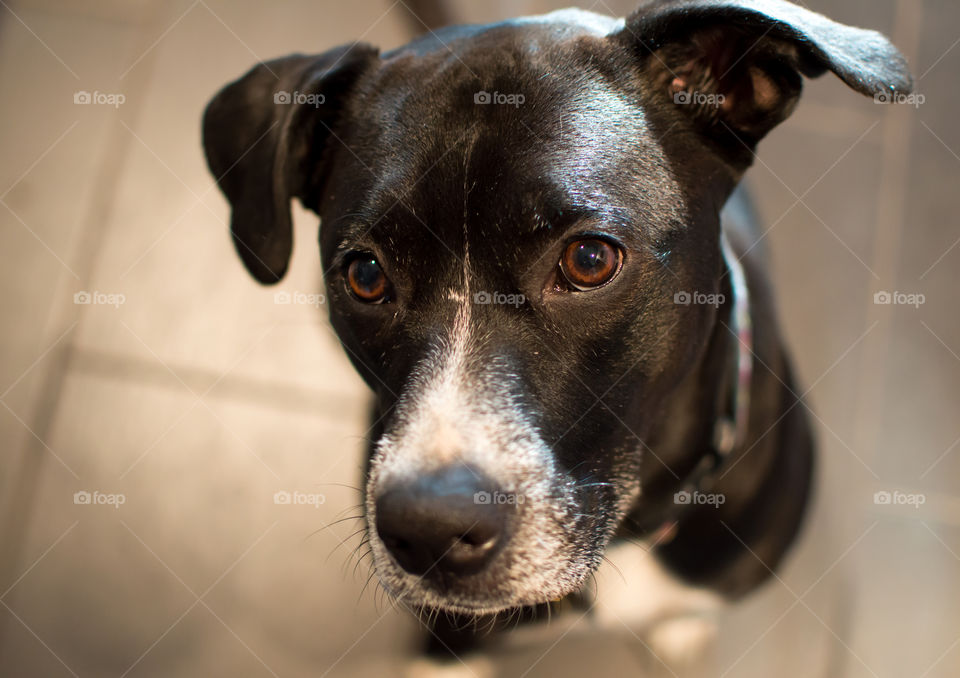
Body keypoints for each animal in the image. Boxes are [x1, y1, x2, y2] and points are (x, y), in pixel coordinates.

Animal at [204, 2, 916, 676]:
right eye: (366, 275)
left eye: (590, 260)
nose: (431, 531)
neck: (630, 531)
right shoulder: (447, 631)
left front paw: (680, 631)